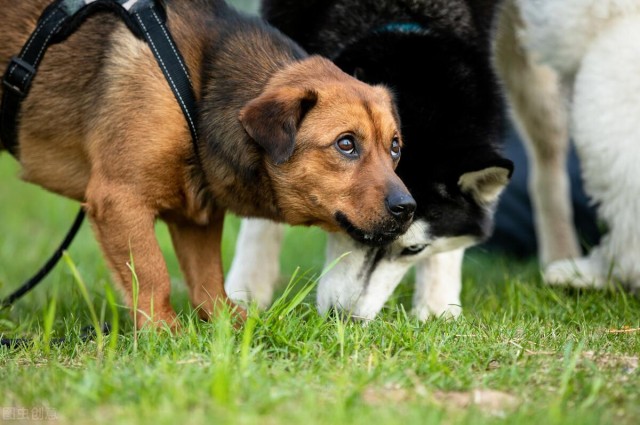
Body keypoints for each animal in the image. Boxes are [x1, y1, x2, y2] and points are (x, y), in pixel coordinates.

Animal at [0, 0, 416, 328]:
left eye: (395, 147)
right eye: (346, 144)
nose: (408, 208)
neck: (199, 90)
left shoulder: (196, 216)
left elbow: (208, 281)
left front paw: (229, 327)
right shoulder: (118, 200)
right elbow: (152, 273)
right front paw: (164, 335)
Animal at [225, 0, 510, 318]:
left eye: (413, 250)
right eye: (349, 228)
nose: (344, 318)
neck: (405, 17)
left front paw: (438, 307)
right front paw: (246, 292)